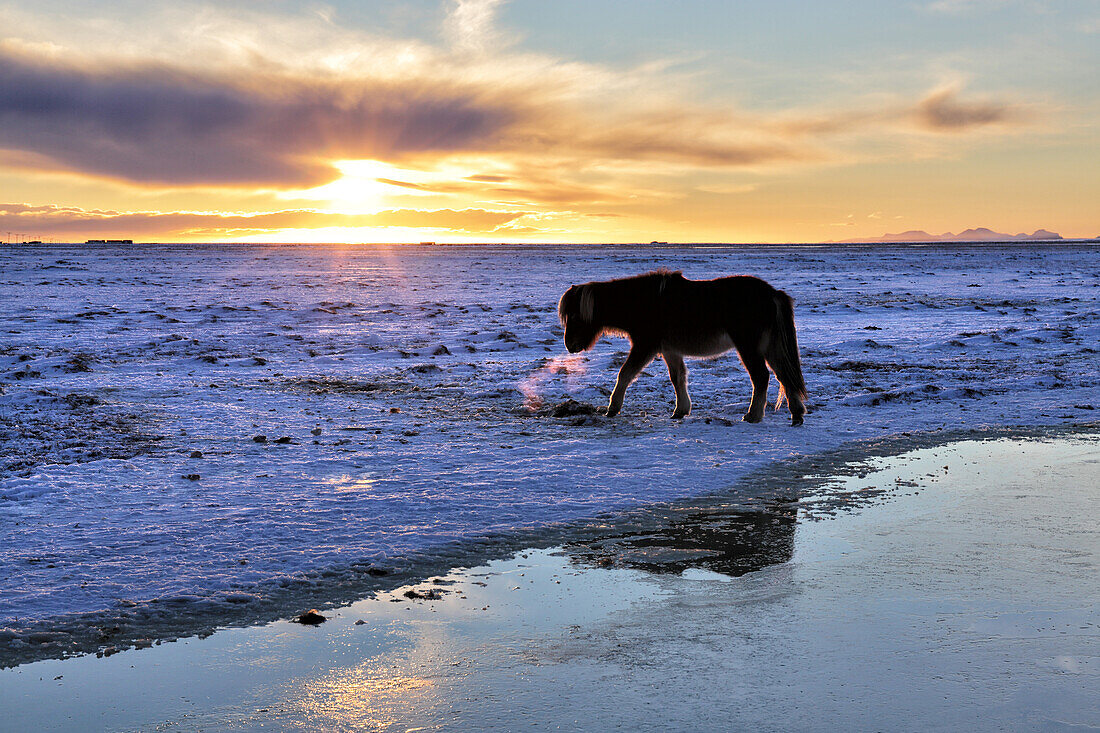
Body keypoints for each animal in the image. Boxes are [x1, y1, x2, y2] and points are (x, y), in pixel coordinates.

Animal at [558, 269, 809, 424]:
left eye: (575, 315)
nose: (570, 345)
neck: (643, 302)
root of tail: (772, 294)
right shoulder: (670, 350)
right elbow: (677, 377)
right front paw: (680, 411)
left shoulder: (644, 346)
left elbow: (625, 373)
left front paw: (612, 409)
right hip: (770, 347)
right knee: (784, 375)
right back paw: (796, 415)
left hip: (749, 347)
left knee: (762, 377)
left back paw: (753, 415)